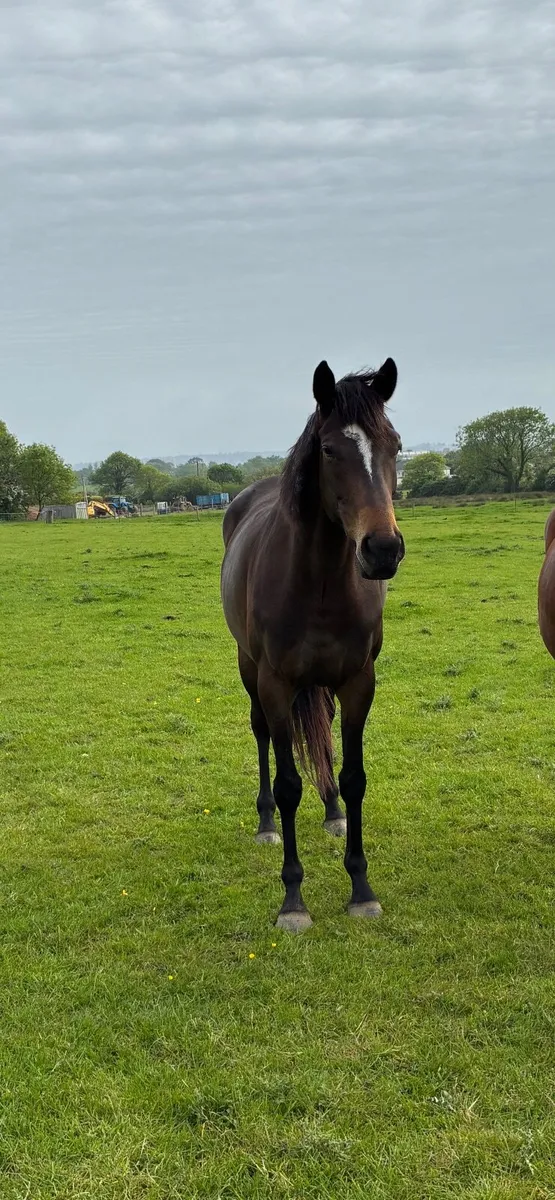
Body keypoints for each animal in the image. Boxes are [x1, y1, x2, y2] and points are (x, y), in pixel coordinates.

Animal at [221, 357, 404, 931]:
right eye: (327, 449)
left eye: (394, 444)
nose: (382, 549)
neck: (320, 581)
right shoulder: (276, 684)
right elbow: (287, 785)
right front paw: (294, 900)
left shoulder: (358, 683)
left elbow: (354, 776)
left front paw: (361, 889)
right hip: (250, 670)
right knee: (261, 735)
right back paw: (265, 825)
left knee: (322, 738)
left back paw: (333, 813)